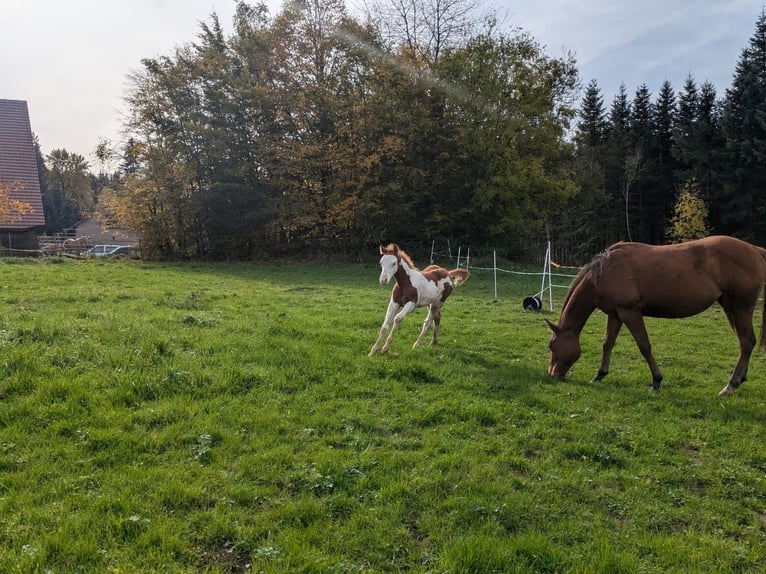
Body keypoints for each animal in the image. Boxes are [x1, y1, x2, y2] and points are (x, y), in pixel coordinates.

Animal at [548, 236, 766, 398]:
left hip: (741, 307)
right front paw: (600, 375)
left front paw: (656, 381)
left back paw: (730, 385)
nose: (553, 375)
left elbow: (644, 346)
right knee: (745, 342)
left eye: (551, 346)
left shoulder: (630, 312)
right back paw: (740, 379)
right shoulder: (616, 314)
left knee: (746, 342)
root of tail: (754, 250)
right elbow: (607, 343)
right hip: (730, 307)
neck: (604, 272)